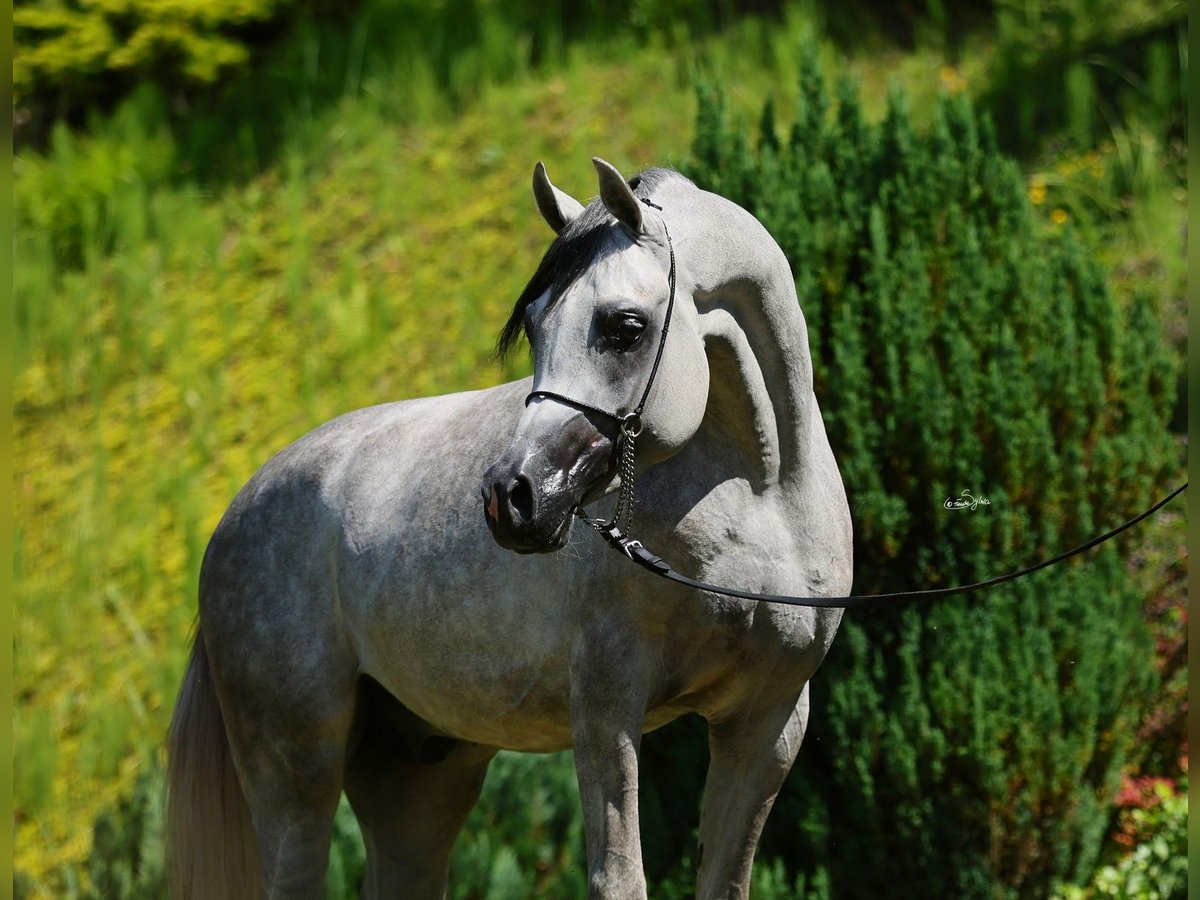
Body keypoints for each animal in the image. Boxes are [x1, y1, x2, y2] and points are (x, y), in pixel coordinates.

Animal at [165, 157, 853, 900]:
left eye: (625, 326)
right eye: (533, 324)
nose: (512, 497)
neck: (762, 499)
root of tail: (232, 521)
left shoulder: (767, 723)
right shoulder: (606, 710)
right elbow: (619, 878)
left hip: (420, 782)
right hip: (296, 778)